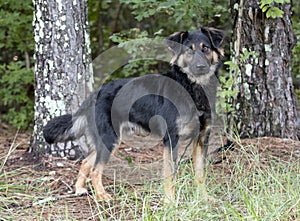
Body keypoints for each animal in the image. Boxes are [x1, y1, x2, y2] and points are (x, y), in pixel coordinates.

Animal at [43, 27, 224, 204]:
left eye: (205, 48)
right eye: (189, 50)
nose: (201, 66)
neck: (192, 88)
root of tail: (95, 94)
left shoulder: (202, 138)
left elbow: (200, 174)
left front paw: (203, 198)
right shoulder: (171, 139)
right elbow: (170, 175)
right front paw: (170, 202)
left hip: (109, 140)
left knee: (86, 161)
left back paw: (80, 189)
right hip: (110, 138)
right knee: (95, 169)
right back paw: (102, 196)